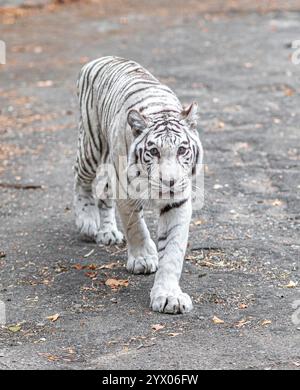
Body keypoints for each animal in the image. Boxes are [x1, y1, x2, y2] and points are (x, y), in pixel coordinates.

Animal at [73, 56, 203, 314]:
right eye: (153, 152)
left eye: (181, 150)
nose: (169, 181)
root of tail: (100, 58)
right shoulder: (125, 191)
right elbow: (136, 228)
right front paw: (143, 258)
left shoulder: (178, 202)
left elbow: (172, 251)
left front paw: (169, 296)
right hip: (92, 147)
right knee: (81, 179)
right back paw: (88, 221)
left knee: (103, 195)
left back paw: (108, 232)